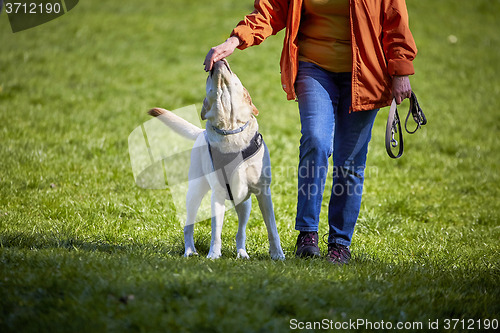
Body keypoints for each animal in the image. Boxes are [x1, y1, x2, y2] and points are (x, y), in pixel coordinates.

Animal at [148, 59, 284, 260]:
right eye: (207, 78)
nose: (219, 61)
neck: (231, 129)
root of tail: (200, 133)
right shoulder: (218, 195)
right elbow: (216, 231)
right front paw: (213, 255)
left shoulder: (263, 192)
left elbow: (272, 227)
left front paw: (277, 254)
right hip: (194, 193)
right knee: (188, 226)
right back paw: (190, 250)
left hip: (245, 203)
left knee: (240, 232)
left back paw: (242, 253)